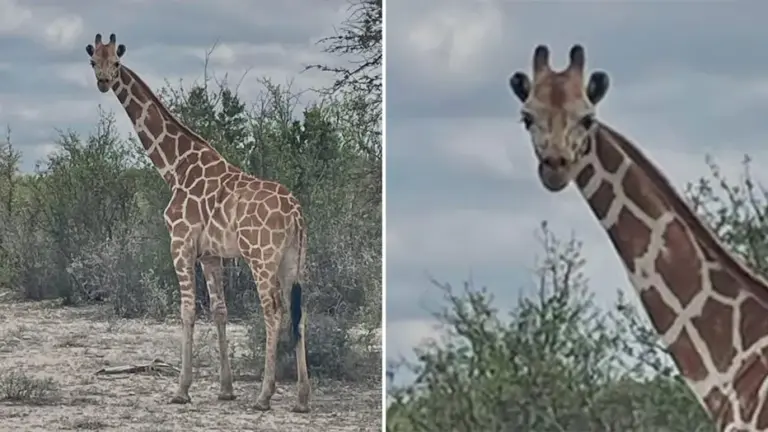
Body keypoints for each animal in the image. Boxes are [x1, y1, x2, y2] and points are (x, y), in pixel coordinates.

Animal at [85, 33, 311, 413]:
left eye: (115, 62)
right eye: (93, 61)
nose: (103, 82)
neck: (175, 167)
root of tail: (296, 212)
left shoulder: (180, 242)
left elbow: (188, 310)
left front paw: (181, 389)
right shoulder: (210, 254)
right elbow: (220, 311)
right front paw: (225, 389)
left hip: (261, 257)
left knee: (273, 311)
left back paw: (264, 396)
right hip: (293, 259)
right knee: (299, 312)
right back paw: (301, 399)